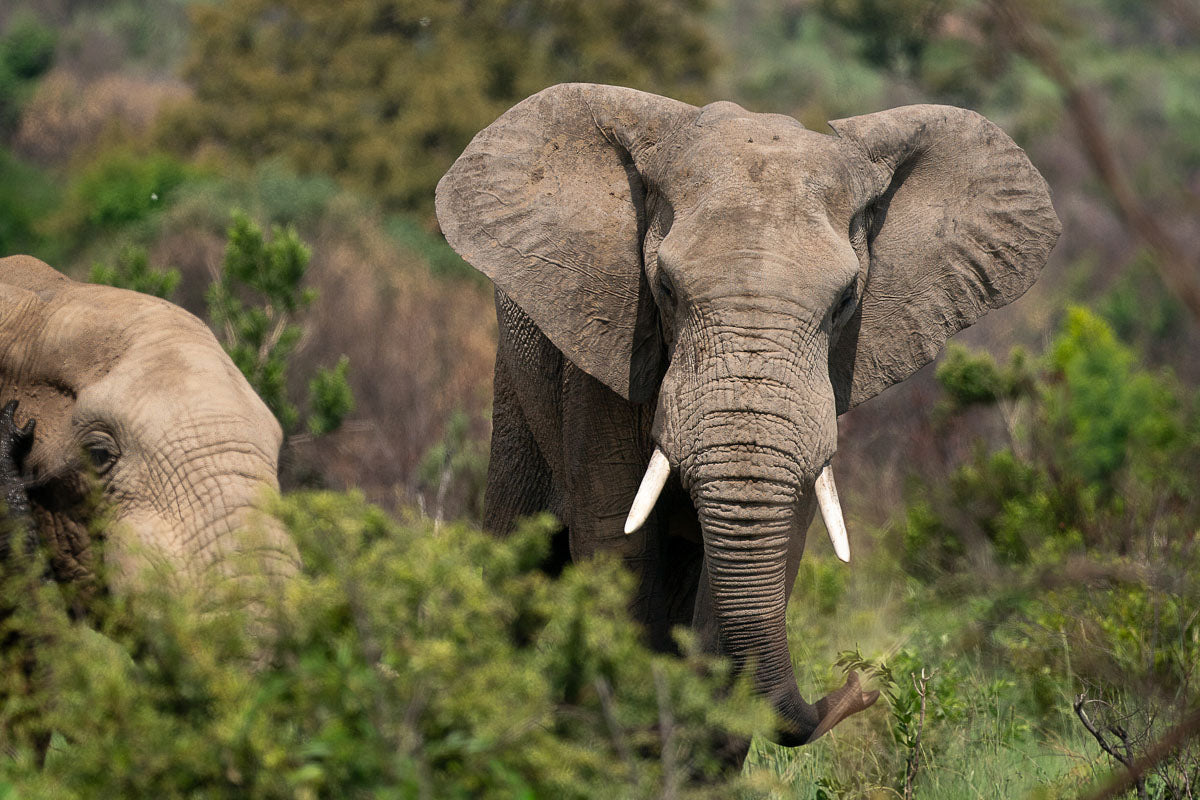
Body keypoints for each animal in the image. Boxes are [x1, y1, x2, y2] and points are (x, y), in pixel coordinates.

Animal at [434, 82, 1060, 753]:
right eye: (665, 290)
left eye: (846, 302)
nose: (860, 683)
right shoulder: (603, 366)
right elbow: (616, 548)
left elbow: (760, 565)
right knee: (520, 552)